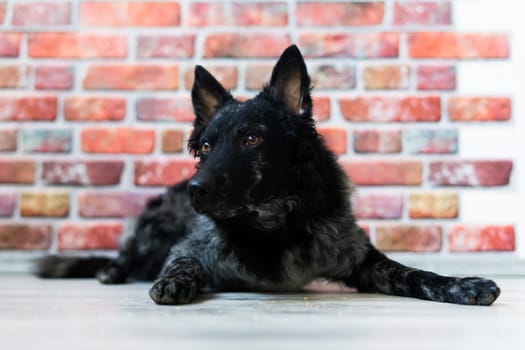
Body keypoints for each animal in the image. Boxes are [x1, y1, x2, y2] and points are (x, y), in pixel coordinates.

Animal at [35, 45, 500, 304]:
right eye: (206, 147)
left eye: (252, 139)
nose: (196, 190)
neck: (272, 222)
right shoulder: (190, 249)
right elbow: (181, 264)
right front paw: (174, 282)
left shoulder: (362, 258)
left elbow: (414, 273)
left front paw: (462, 284)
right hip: (152, 231)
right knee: (127, 256)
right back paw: (112, 270)